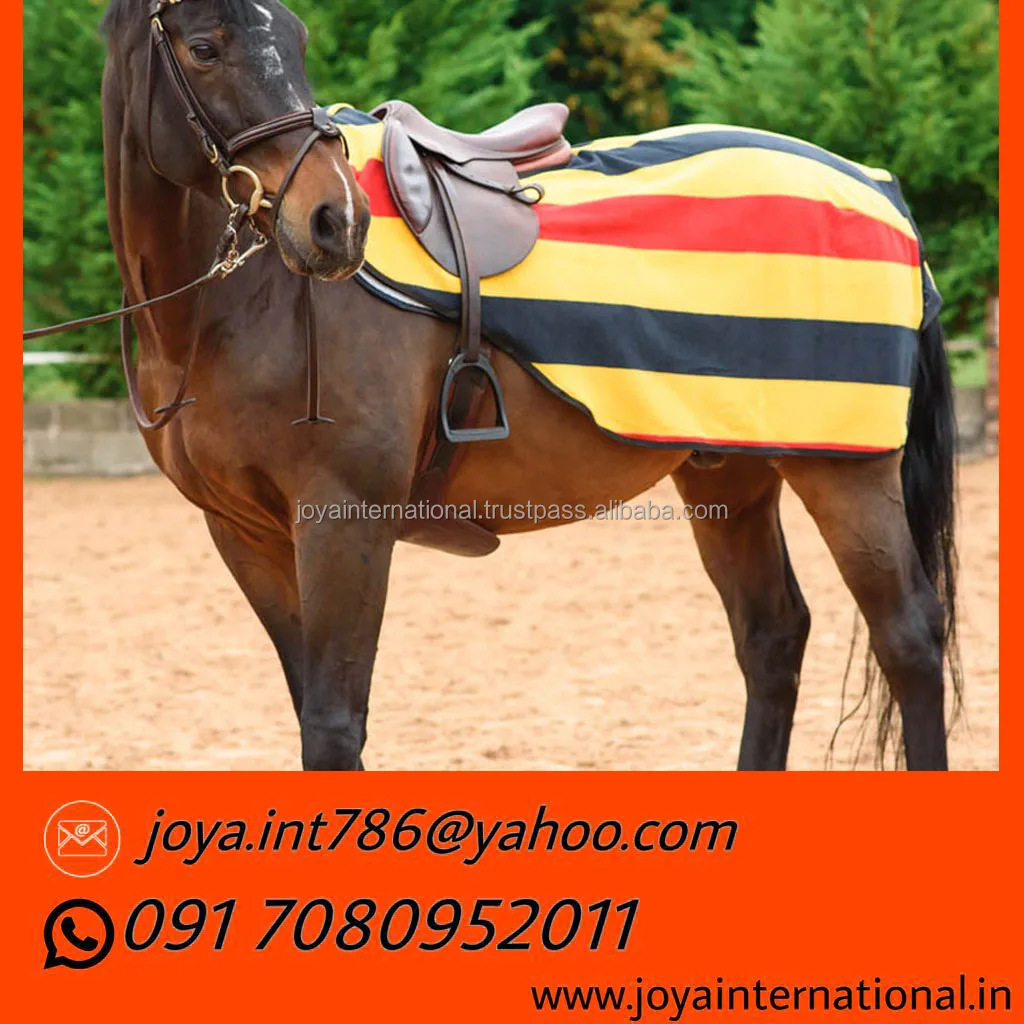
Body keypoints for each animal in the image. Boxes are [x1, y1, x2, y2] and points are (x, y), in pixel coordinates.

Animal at [97, 0, 961, 771]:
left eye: (297, 37)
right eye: (204, 47)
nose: (334, 222)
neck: (235, 307)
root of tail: (875, 184)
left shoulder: (344, 518)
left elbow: (334, 728)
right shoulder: (243, 532)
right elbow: (312, 706)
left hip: (845, 472)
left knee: (909, 637)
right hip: (729, 476)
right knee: (772, 637)